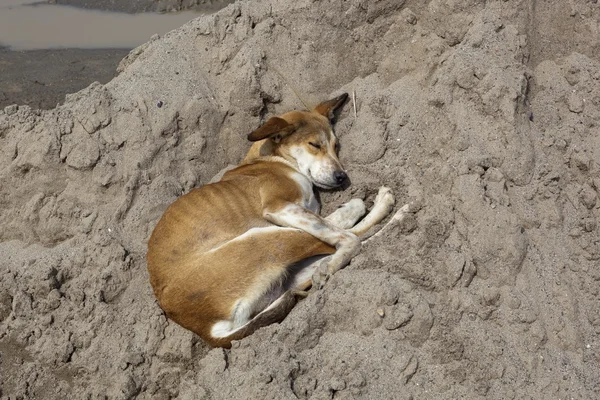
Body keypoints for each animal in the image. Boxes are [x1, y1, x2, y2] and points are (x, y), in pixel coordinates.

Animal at [147, 94, 396, 346]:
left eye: (336, 146)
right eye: (314, 145)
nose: (341, 177)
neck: (272, 159)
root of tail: (206, 330)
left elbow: (336, 219)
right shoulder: (279, 207)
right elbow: (339, 223)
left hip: (283, 270)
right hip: (265, 238)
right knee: (352, 238)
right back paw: (381, 212)